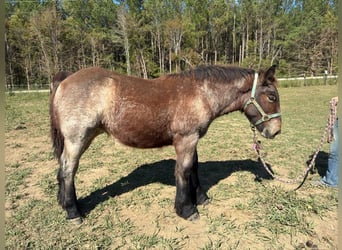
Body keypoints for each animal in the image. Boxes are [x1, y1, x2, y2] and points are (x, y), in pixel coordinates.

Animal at [49, 64, 282, 225]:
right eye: (271, 96)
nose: (276, 131)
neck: (200, 93)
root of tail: (65, 79)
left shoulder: (191, 139)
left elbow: (194, 167)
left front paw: (201, 198)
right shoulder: (186, 138)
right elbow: (184, 170)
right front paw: (187, 209)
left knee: (62, 168)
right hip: (78, 139)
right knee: (68, 170)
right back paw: (73, 213)